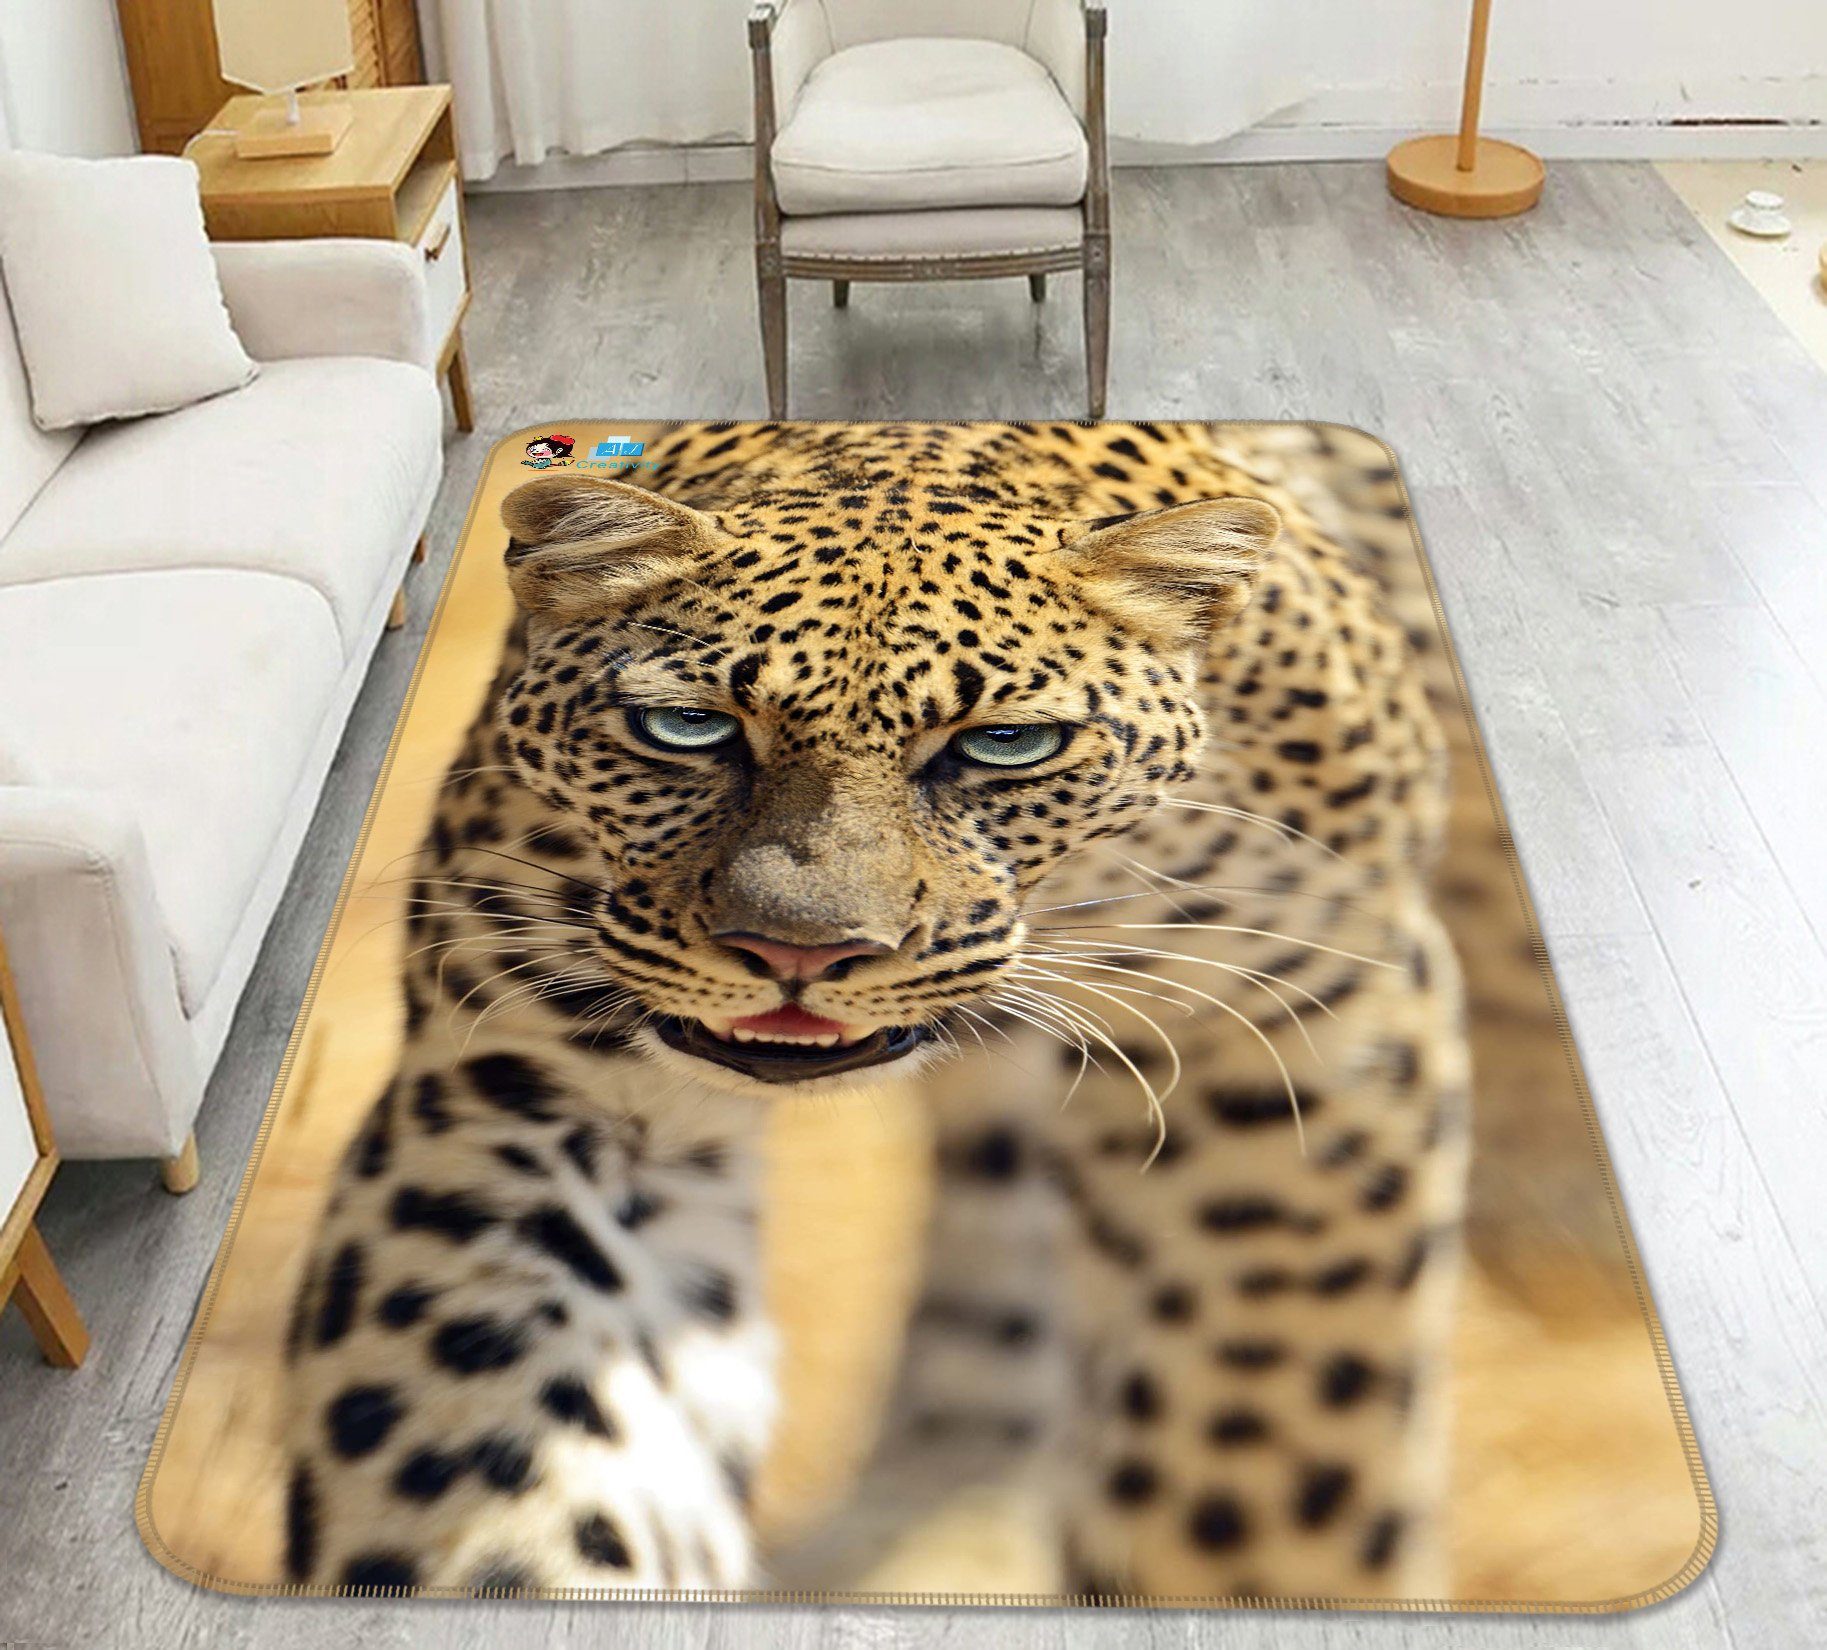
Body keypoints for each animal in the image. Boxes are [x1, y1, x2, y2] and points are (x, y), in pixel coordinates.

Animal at [280, 420, 1469, 1603]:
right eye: (686, 727)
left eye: (1006, 745)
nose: (798, 950)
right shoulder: (534, 1087)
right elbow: (507, 1445)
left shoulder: (1283, 1042)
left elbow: (1251, 1443)